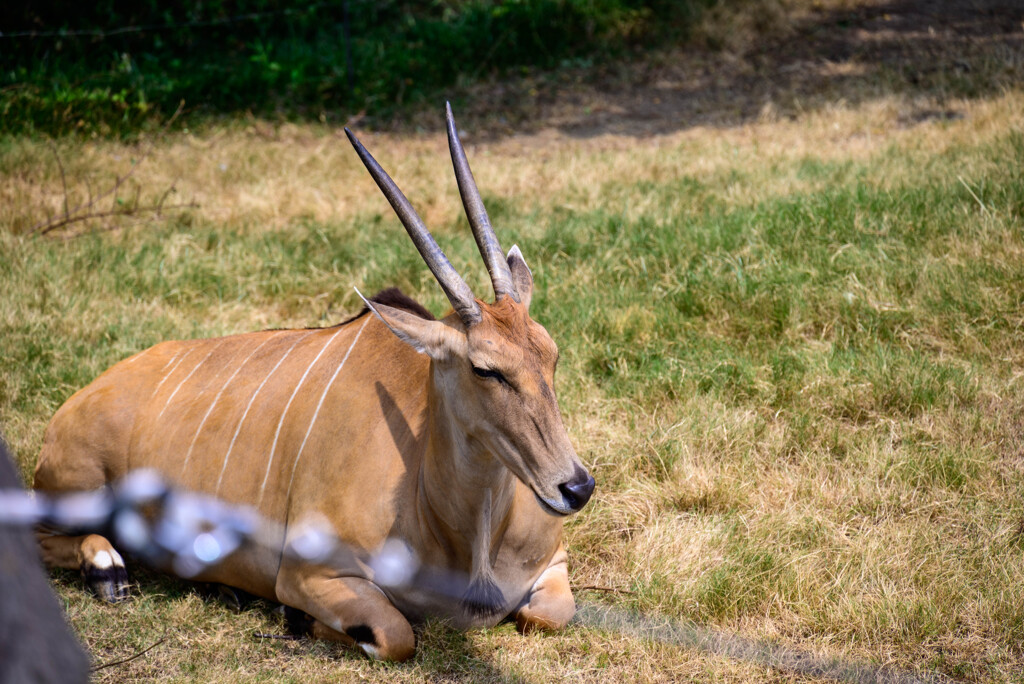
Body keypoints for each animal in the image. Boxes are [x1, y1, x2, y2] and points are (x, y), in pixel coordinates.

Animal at [32, 105, 598, 663]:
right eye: (485, 369)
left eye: (551, 353)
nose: (576, 487)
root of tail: (82, 397)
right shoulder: (312, 576)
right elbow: (396, 635)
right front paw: (301, 621)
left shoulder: (553, 565)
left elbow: (548, 615)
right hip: (72, 492)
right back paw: (107, 567)